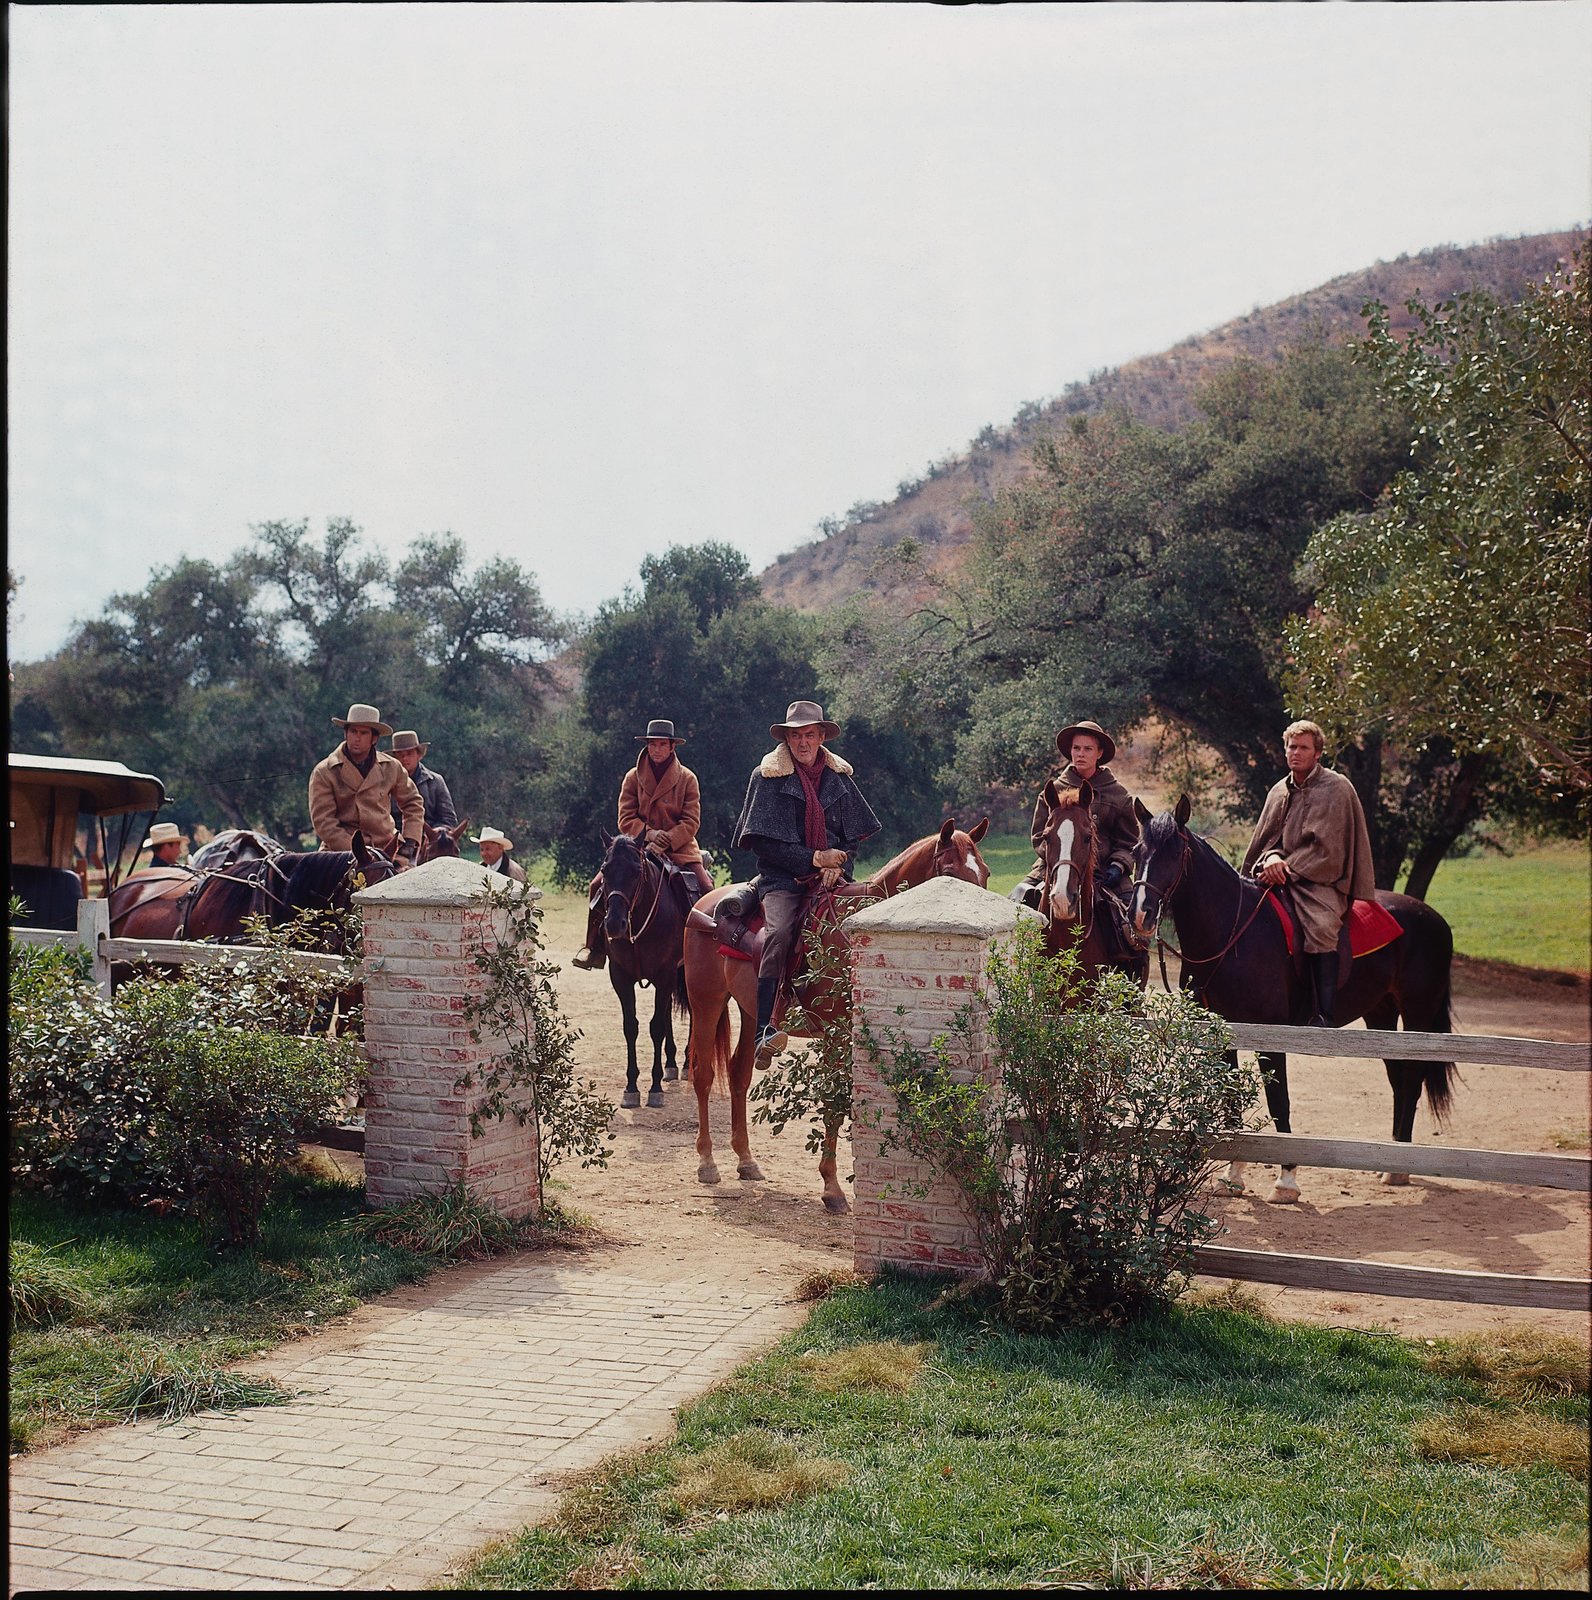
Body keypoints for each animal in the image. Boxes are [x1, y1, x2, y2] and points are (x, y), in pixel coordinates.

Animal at [595, 832, 688, 1107]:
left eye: (636, 871)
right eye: (604, 869)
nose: (615, 924)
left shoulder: (665, 975)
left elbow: (655, 1027)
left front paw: (655, 1088)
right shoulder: (621, 977)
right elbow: (631, 1027)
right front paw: (631, 1087)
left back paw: (688, 1062)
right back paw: (671, 1064)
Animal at [691, 812, 992, 1209]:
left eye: (985, 873)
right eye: (950, 873)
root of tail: (708, 904)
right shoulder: (836, 1036)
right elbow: (834, 1103)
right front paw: (832, 1188)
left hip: (751, 1011)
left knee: (739, 1073)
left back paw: (746, 1160)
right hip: (706, 1001)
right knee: (703, 1074)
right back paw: (707, 1161)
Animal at [1132, 793, 1459, 1203]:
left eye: (1175, 853)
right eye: (1137, 851)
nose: (1140, 915)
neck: (1232, 933)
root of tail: (1435, 919)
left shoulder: (1272, 1037)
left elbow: (1279, 1102)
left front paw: (1286, 1179)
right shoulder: (1224, 1036)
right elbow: (1231, 1103)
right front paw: (1232, 1176)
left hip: (1417, 1017)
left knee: (1412, 1081)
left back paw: (1397, 1167)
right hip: (1380, 1017)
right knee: (1399, 1082)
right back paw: (1391, 1162)